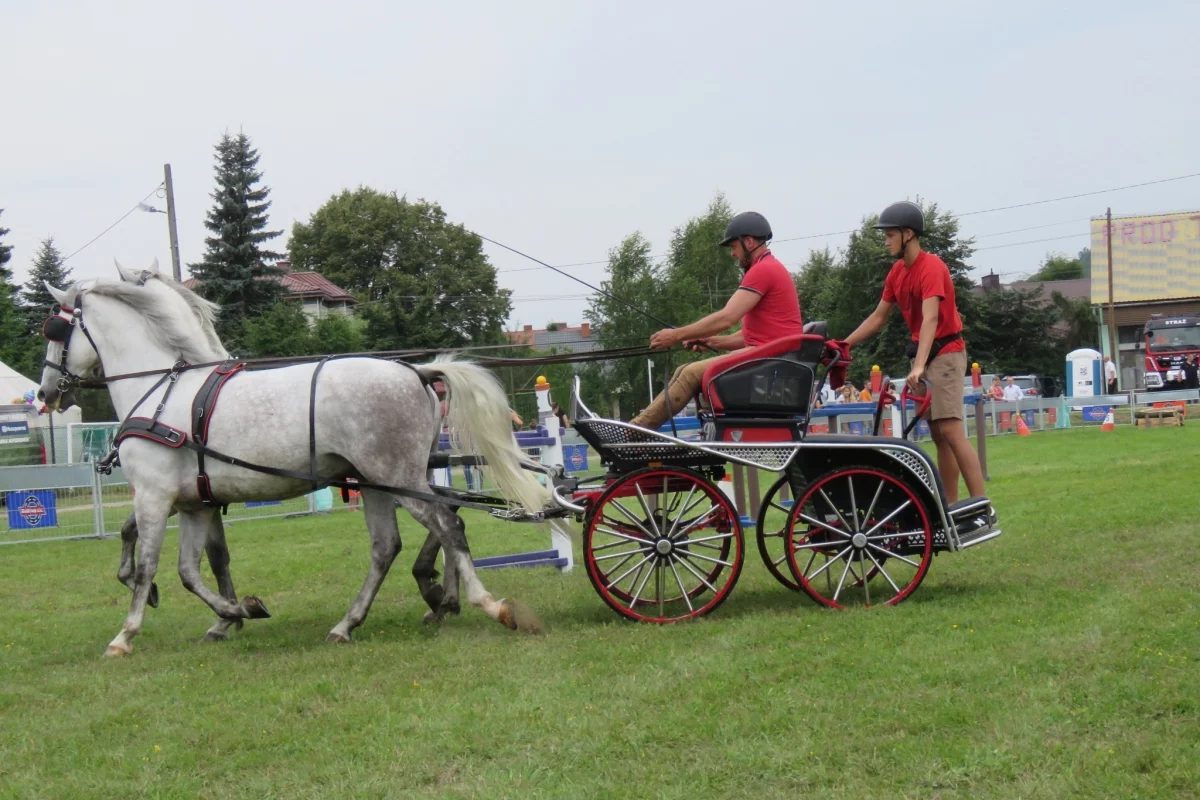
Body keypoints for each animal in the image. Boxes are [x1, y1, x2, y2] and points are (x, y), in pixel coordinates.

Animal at [38, 275, 549, 657]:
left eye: (54, 330)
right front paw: (238, 611)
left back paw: (487, 604)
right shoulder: (194, 504)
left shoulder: (153, 496)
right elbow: (189, 571)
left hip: (396, 477)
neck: (163, 391)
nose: (45, 392)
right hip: (381, 482)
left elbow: (147, 565)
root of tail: (416, 371)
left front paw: (125, 634)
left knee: (448, 524)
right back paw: (355, 621)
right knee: (392, 543)